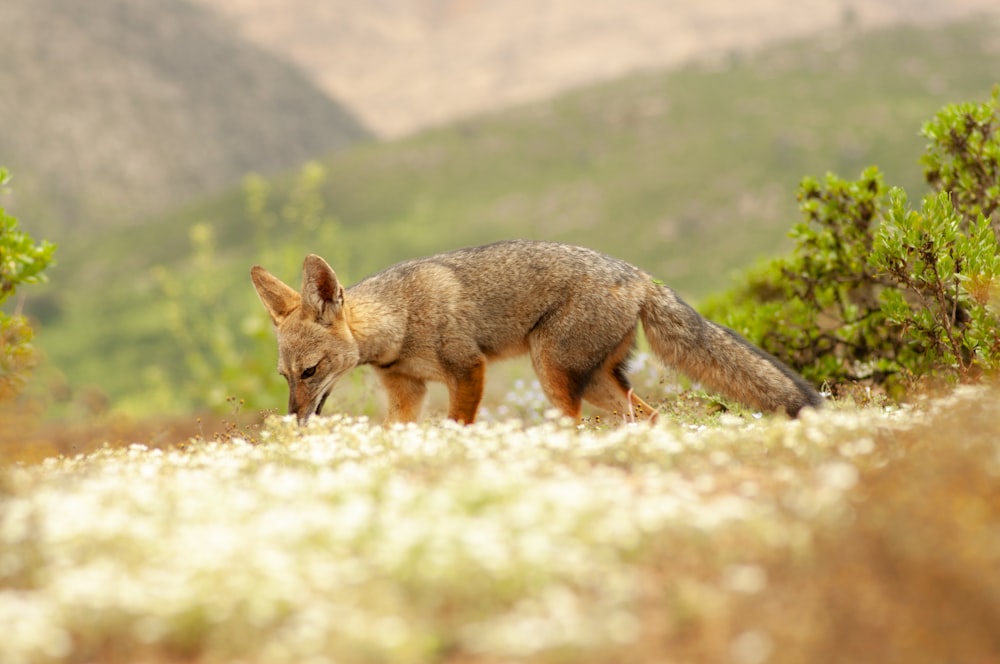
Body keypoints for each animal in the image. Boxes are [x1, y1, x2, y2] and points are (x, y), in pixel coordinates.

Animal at [250, 241, 820, 422]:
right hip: (598, 384)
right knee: (651, 419)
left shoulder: (468, 370)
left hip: (553, 374)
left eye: (310, 371)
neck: (400, 323)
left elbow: (457, 426)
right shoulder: (406, 393)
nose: (295, 418)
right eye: (285, 377)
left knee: (574, 426)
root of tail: (638, 275)